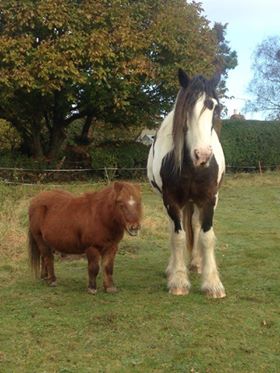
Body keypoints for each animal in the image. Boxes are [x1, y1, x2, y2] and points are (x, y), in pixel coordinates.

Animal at [148, 68, 226, 298]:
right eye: (186, 107)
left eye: (215, 107)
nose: (203, 155)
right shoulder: (171, 200)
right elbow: (178, 237)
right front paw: (178, 280)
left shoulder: (209, 199)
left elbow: (207, 237)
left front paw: (213, 284)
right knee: (175, 229)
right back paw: (173, 268)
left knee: (196, 226)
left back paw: (197, 264)